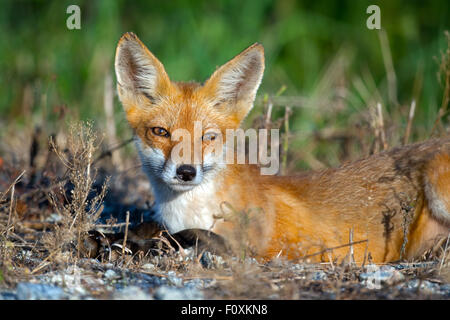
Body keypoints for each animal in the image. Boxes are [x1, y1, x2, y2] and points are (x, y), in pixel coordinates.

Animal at [114, 31, 450, 262]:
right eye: (160, 132)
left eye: (208, 137)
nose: (186, 172)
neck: (188, 212)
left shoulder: (298, 248)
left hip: (438, 184)